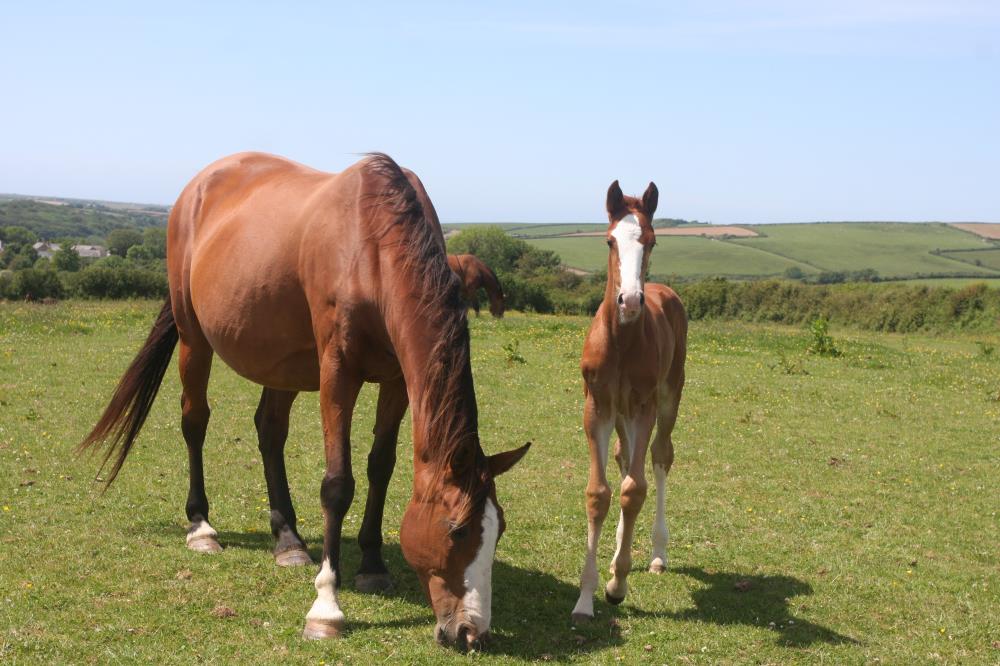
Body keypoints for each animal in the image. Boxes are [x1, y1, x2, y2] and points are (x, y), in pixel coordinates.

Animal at [78, 153, 528, 644]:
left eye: (499, 530)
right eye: (457, 530)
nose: (470, 631)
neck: (371, 244)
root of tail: (196, 188)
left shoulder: (396, 381)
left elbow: (381, 466)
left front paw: (372, 563)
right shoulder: (338, 372)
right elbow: (338, 484)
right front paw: (326, 607)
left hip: (281, 361)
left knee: (270, 431)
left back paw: (288, 539)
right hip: (193, 338)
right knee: (194, 421)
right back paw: (202, 527)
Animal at [572, 179, 688, 620]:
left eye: (652, 241)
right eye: (609, 240)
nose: (631, 301)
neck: (621, 341)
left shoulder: (644, 407)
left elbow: (635, 490)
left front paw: (617, 586)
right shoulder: (597, 408)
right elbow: (600, 493)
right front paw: (585, 598)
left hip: (670, 395)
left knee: (658, 458)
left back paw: (656, 553)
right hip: (620, 414)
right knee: (624, 460)